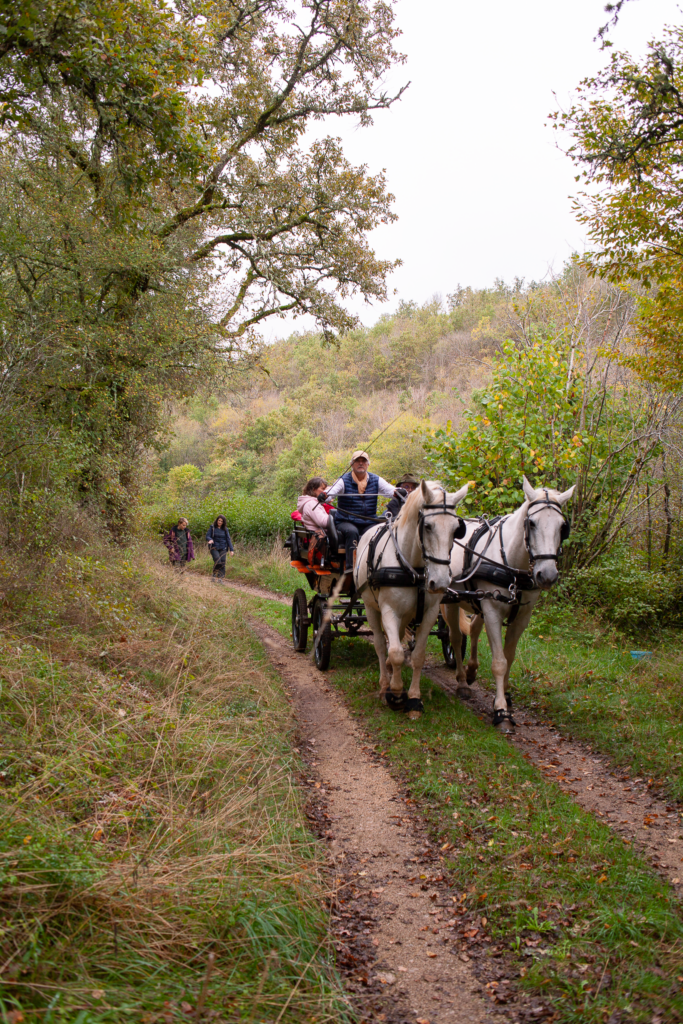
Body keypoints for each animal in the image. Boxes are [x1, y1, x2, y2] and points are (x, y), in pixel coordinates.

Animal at [352, 481, 471, 716]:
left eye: (456, 529)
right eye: (428, 526)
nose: (440, 582)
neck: (413, 567)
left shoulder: (429, 613)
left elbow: (418, 655)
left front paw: (415, 698)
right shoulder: (389, 610)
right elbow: (396, 652)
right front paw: (396, 693)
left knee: (396, 637)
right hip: (371, 607)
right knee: (381, 644)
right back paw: (384, 683)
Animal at [440, 475, 573, 733]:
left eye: (563, 527)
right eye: (531, 523)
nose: (547, 575)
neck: (512, 564)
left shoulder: (522, 615)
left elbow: (509, 656)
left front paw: (506, 697)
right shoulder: (492, 610)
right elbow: (500, 661)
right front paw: (501, 711)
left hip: (477, 600)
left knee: (473, 630)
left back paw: (471, 670)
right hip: (451, 601)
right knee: (455, 637)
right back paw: (462, 681)